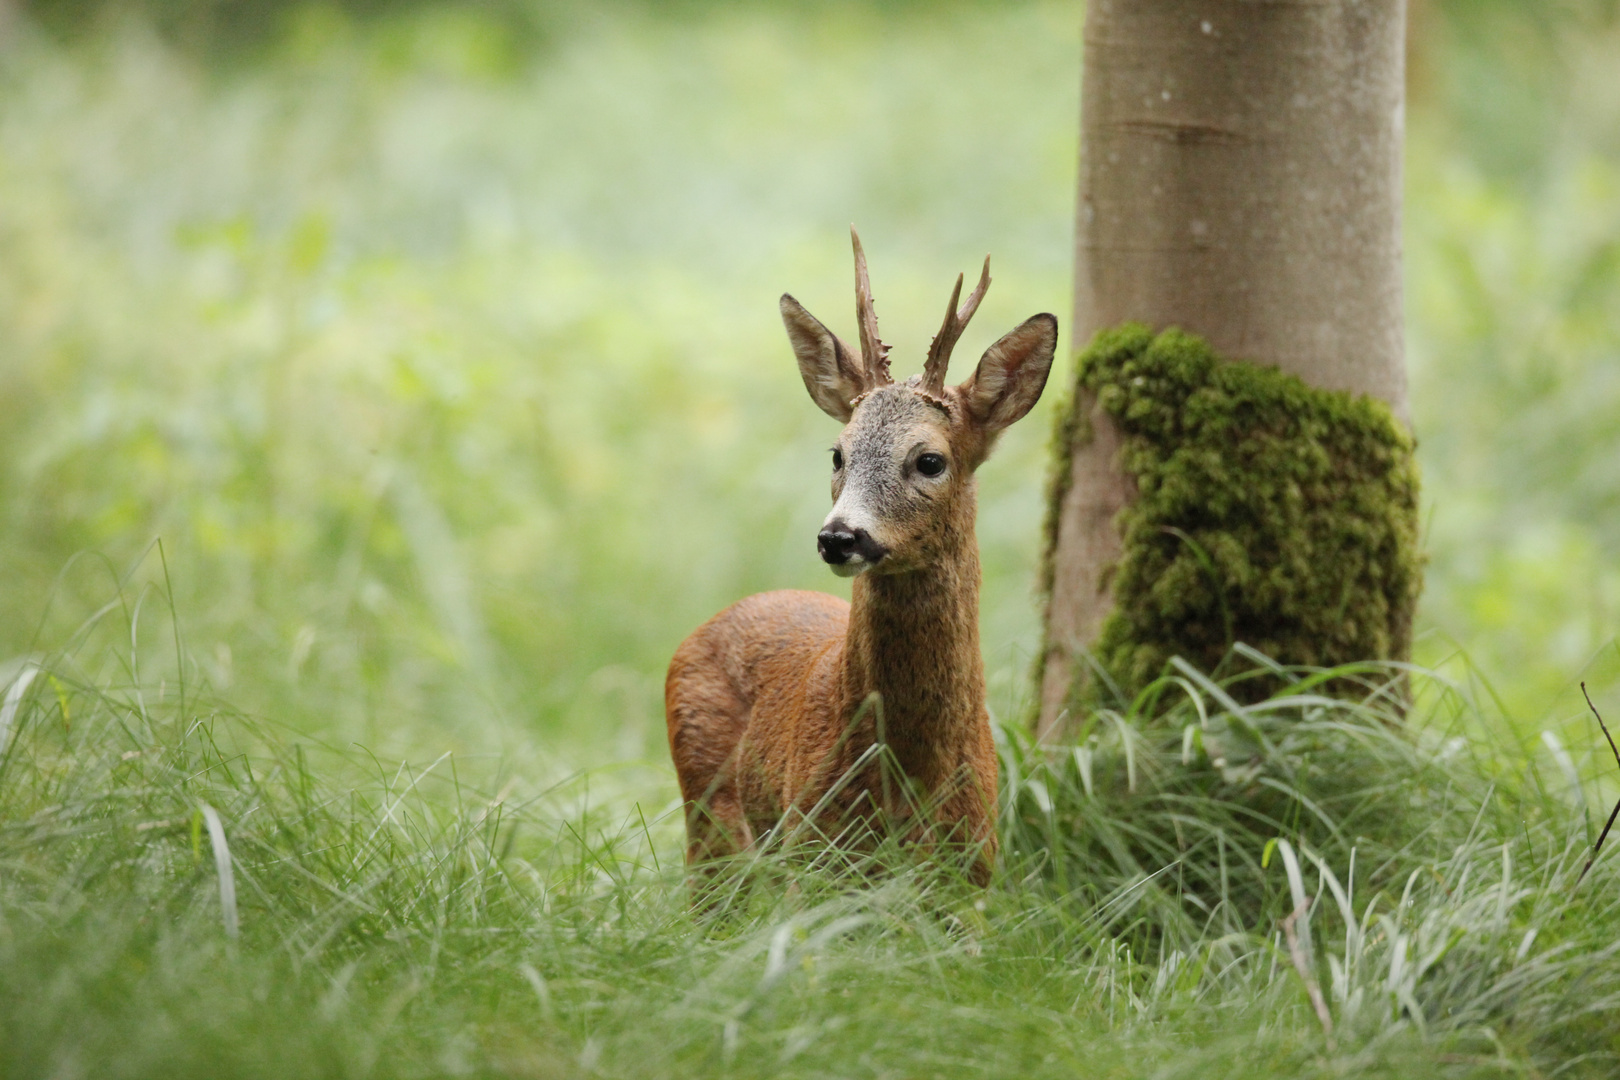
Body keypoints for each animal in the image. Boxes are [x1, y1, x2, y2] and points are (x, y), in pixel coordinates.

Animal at [660, 228, 1056, 887]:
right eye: (838, 453)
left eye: (930, 460)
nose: (839, 537)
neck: (909, 779)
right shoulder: (812, 849)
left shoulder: (975, 869)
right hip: (710, 812)